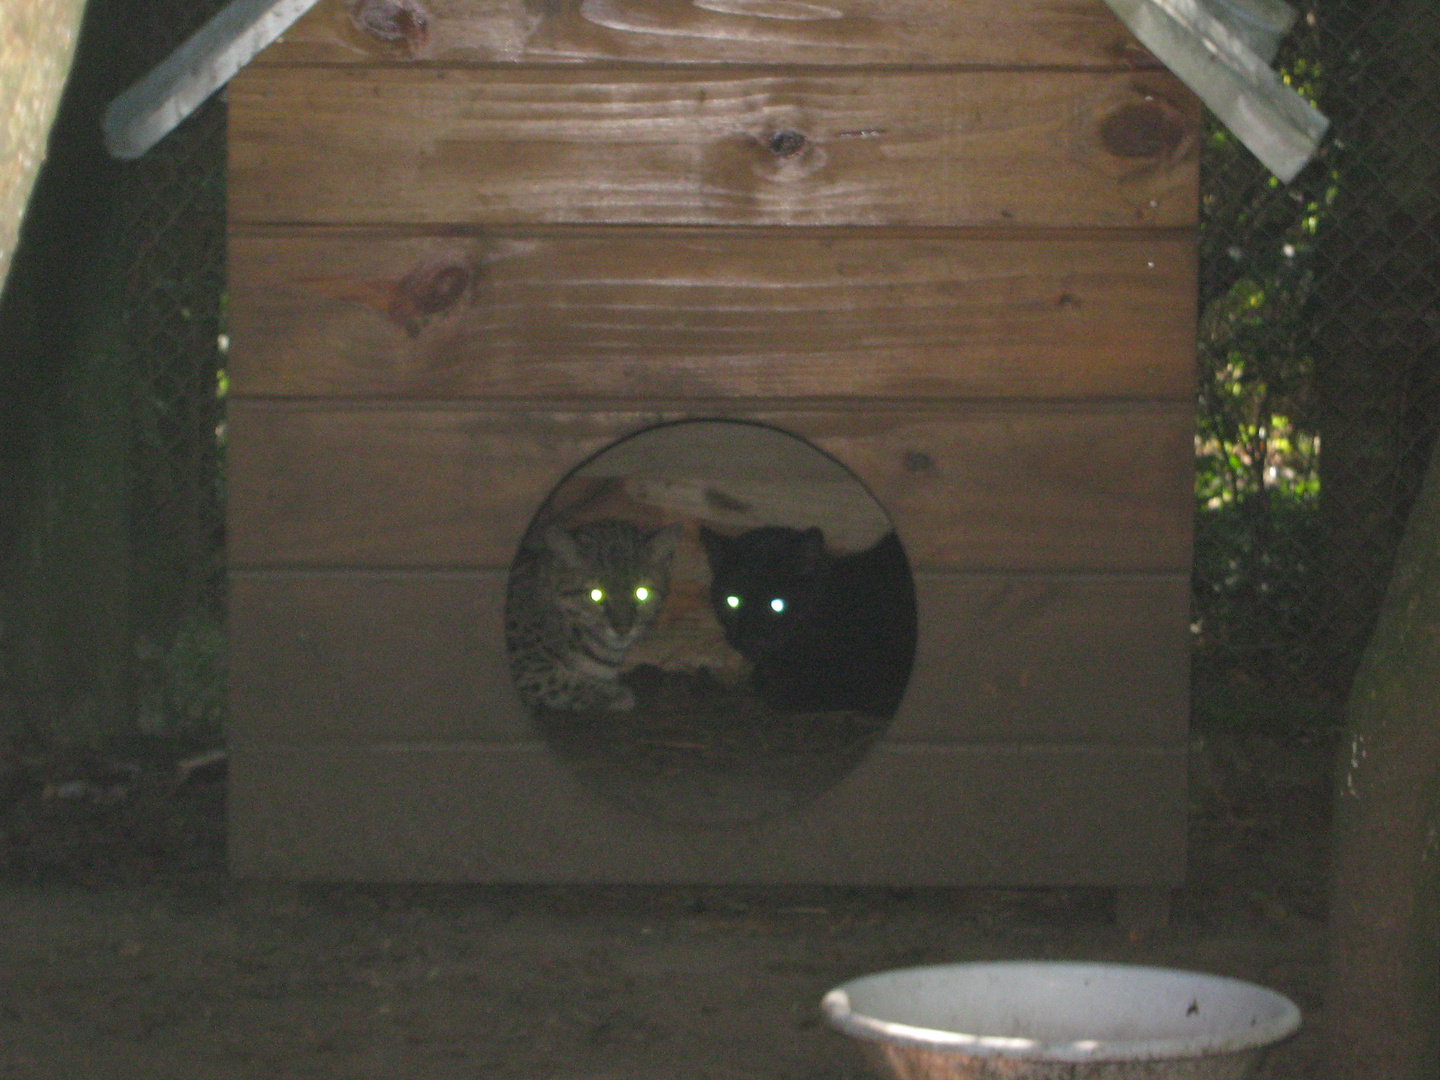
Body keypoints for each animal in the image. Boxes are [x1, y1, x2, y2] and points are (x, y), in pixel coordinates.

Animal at [509, 521, 682, 714]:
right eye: (596, 594)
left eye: (641, 593)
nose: (623, 629)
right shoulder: (525, 667)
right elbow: (561, 681)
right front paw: (611, 693)